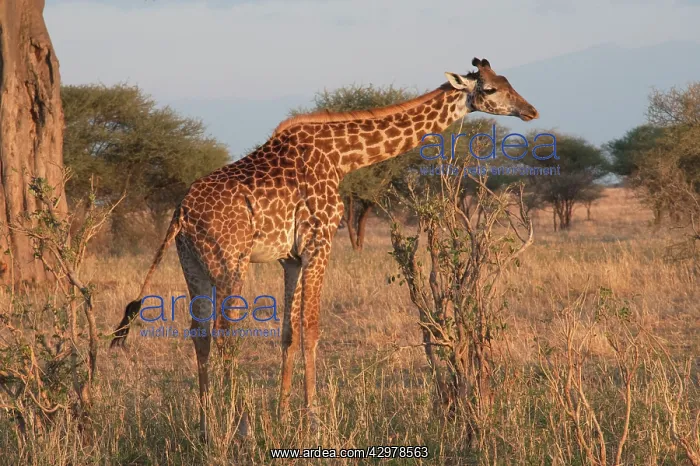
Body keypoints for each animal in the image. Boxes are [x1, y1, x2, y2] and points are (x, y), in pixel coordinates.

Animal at [110, 57, 539, 439]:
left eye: (507, 81)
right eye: (490, 88)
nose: (531, 110)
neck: (342, 157)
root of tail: (180, 211)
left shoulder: (290, 258)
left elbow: (289, 331)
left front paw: (283, 416)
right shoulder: (320, 242)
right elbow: (312, 328)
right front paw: (313, 421)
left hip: (192, 263)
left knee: (199, 333)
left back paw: (205, 428)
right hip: (230, 261)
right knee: (225, 334)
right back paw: (237, 426)